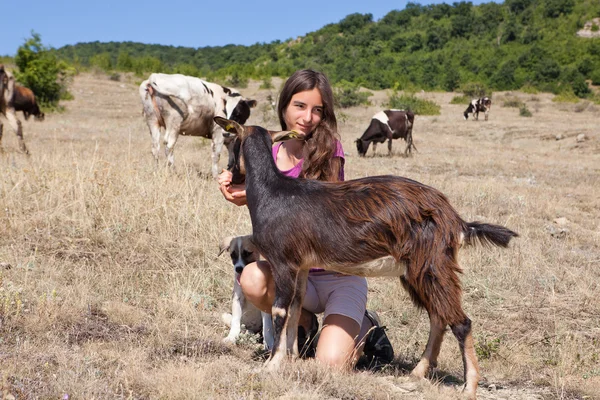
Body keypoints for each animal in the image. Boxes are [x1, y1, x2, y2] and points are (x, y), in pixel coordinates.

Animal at [214, 115, 516, 396]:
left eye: (232, 142)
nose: (230, 174)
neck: (273, 192)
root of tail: (455, 219)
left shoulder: (283, 262)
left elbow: (279, 310)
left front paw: (272, 365)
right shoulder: (301, 265)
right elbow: (296, 308)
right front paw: (293, 357)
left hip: (433, 263)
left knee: (460, 321)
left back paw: (469, 387)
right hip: (417, 270)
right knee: (438, 318)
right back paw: (417, 374)